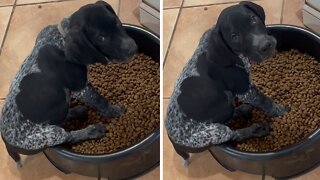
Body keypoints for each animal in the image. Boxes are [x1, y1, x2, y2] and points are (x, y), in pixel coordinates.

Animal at [0, 0, 138, 167]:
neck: (61, 36)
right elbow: (101, 101)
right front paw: (115, 111)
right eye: (101, 38)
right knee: (67, 136)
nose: (133, 48)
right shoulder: (82, 88)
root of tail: (6, 141)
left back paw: (76, 111)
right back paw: (92, 130)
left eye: (116, 22)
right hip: (48, 135)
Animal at [165, 1, 290, 167]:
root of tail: (173, 142)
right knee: (234, 134)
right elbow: (265, 101)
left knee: (229, 113)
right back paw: (258, 129)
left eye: (253, 19)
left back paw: (242, 110)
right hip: (213, 132)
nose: (265, 46)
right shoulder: (246, 91)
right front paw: (280, 111)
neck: (233, 55)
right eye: (234, 37)